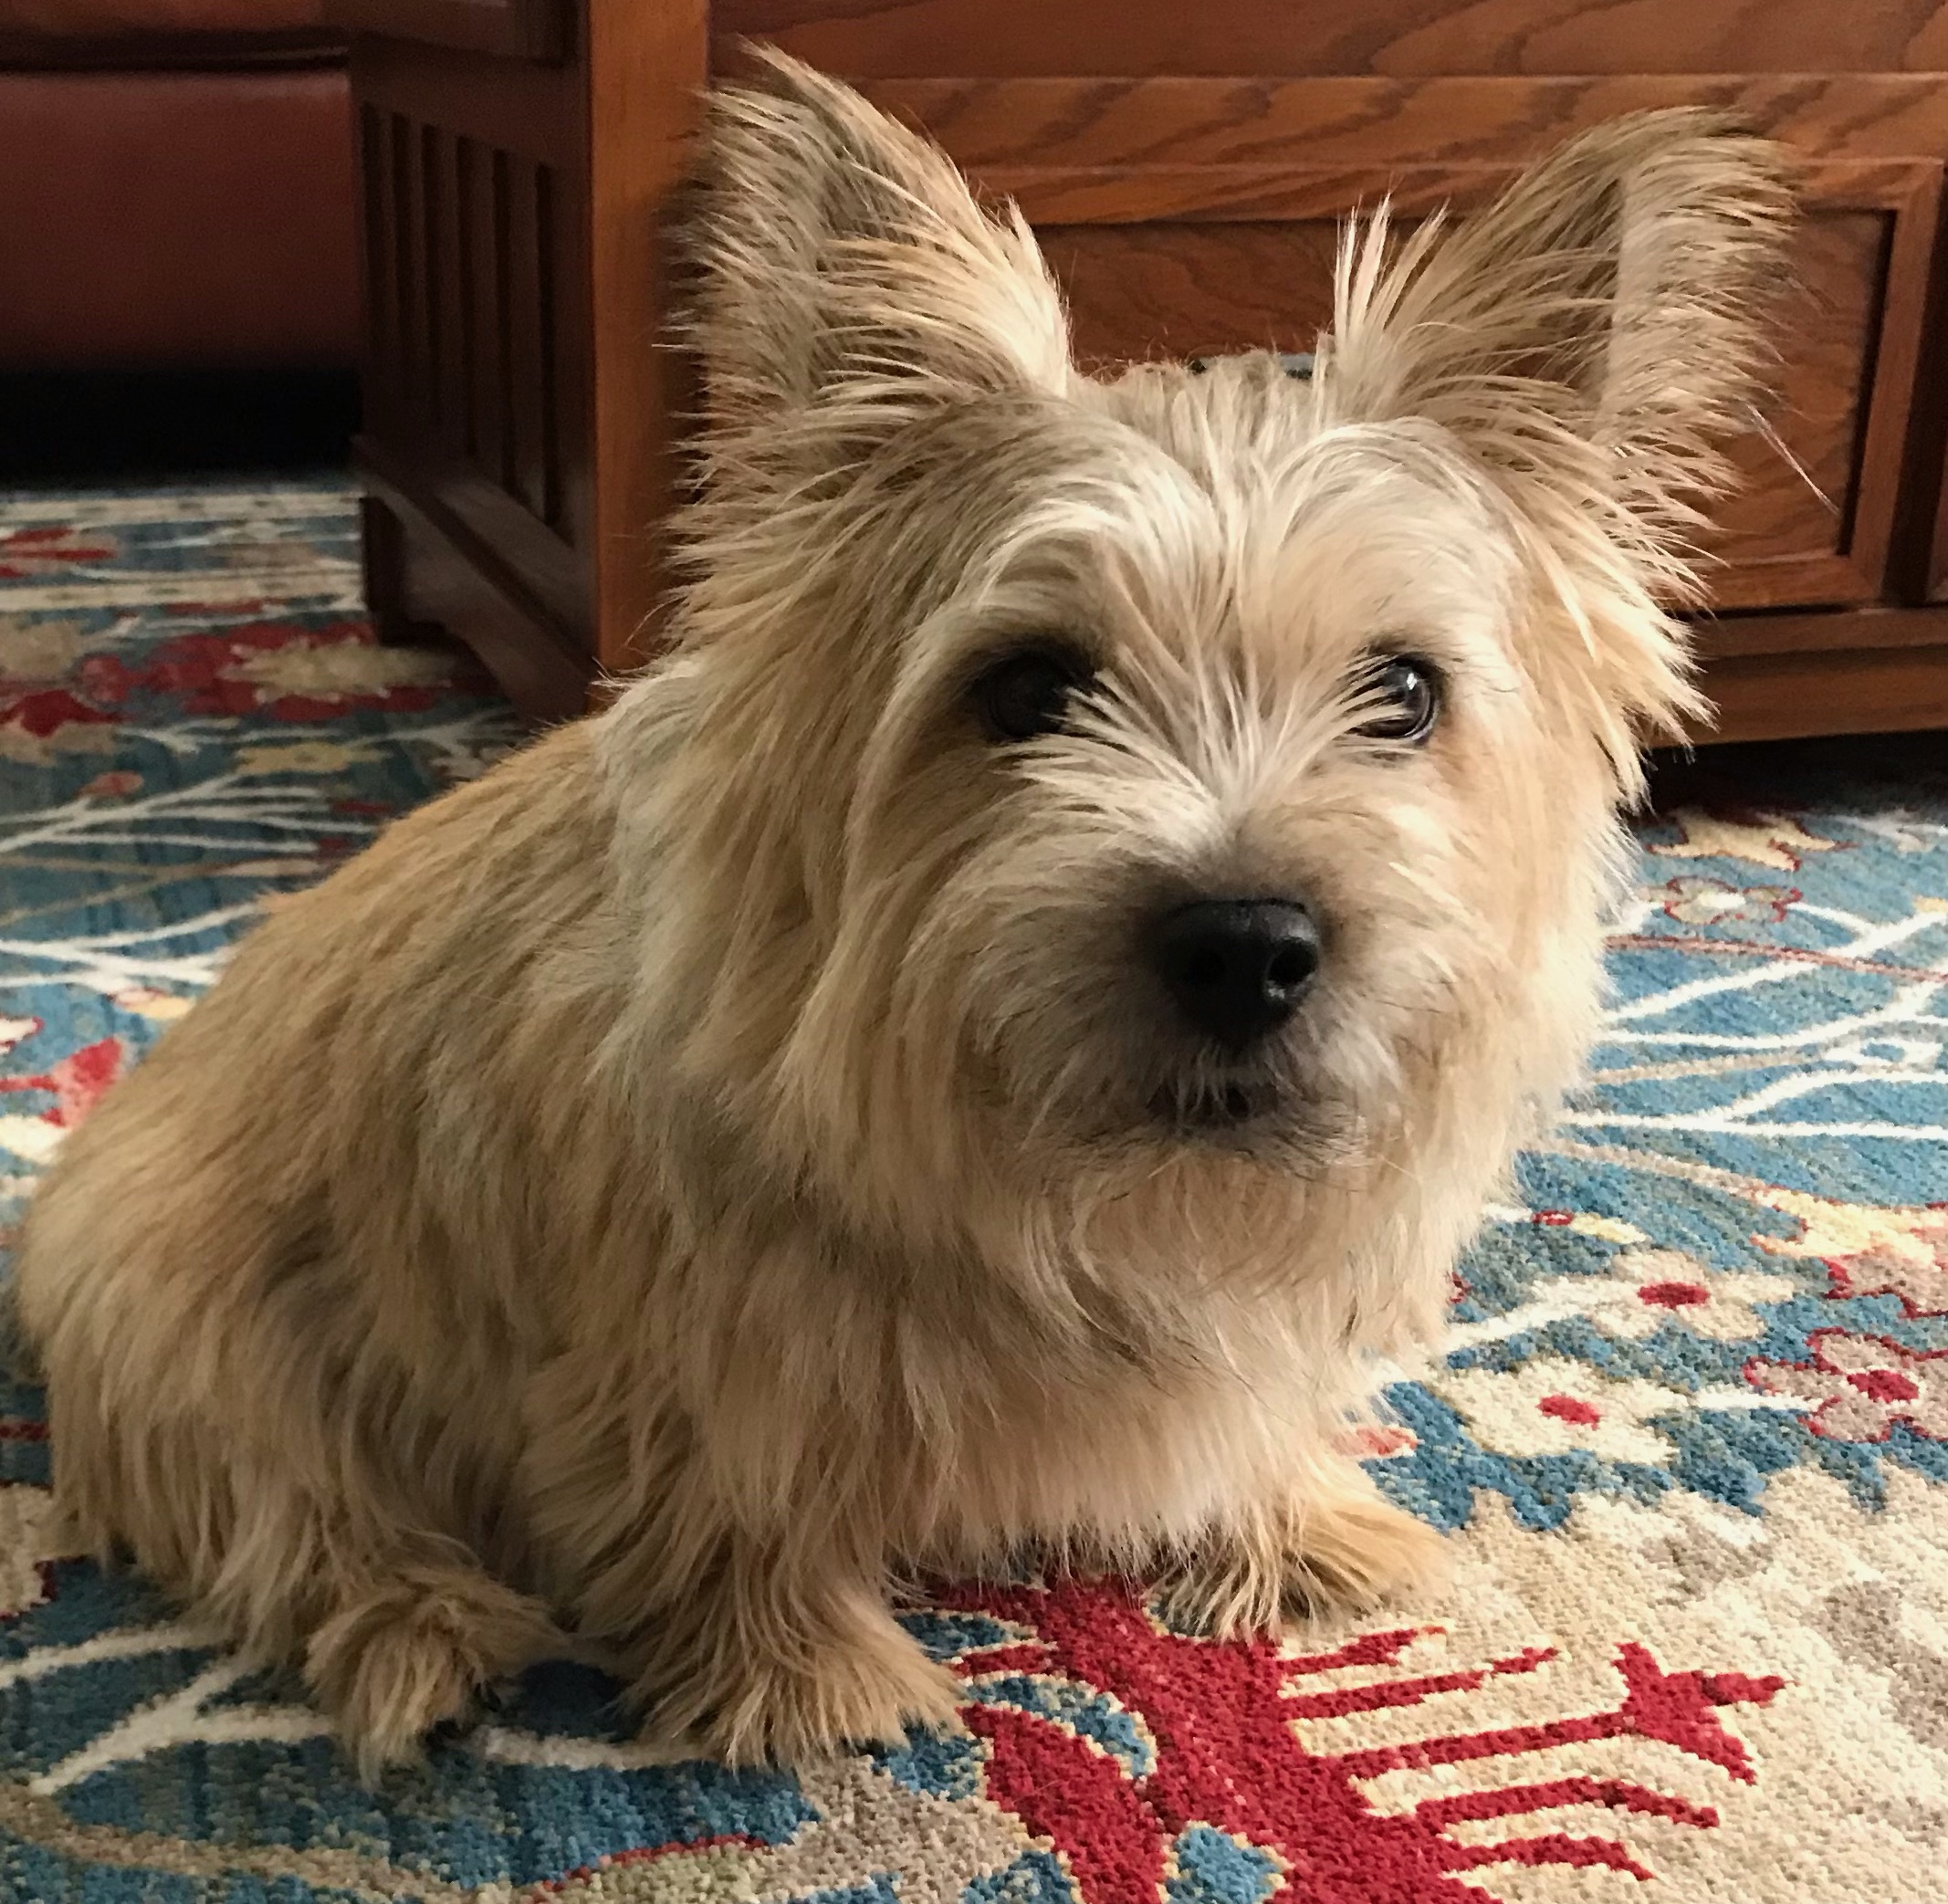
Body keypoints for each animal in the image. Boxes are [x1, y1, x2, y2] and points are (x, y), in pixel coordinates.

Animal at [13, 55, 1791, 1776]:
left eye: (1402, 691)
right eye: (1023, 687)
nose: (1244, 943)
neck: (1068, 1200)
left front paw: (1287, 1521)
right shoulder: (677, 1349)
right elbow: (721, 1503)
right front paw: (802, 1677)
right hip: (184, 1310)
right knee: (283, 1502)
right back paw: (417, 1635)